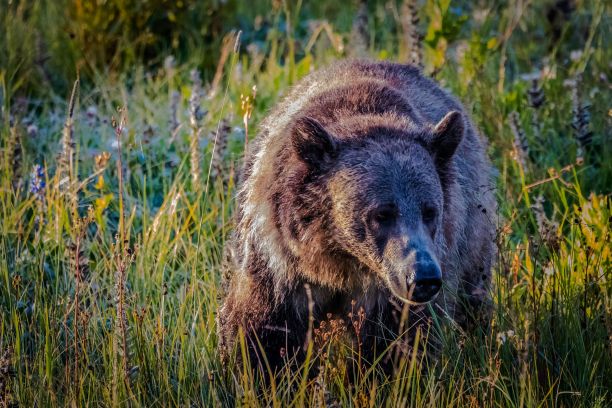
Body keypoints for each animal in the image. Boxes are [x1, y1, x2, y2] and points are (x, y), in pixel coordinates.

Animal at [218, 59, 494, 374]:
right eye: (382, 213)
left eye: (430, 211)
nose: (423, 276)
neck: (339, 260)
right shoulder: (279, 265)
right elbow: (265, 333)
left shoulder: (388, 294)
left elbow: (393, 343)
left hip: (472, 236)